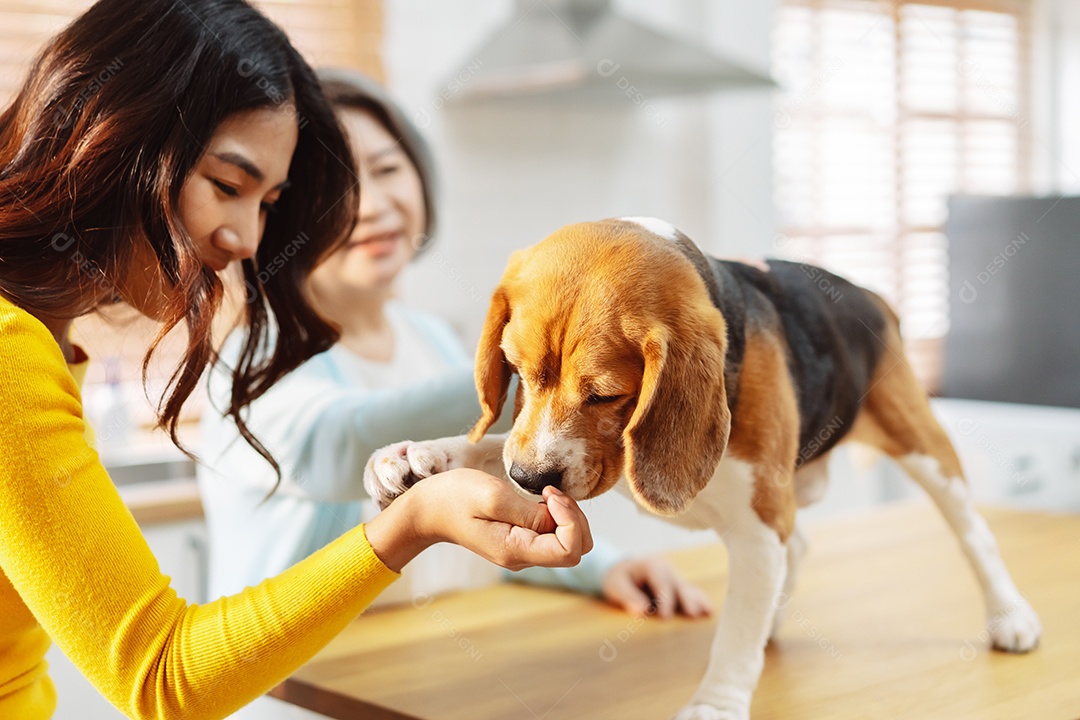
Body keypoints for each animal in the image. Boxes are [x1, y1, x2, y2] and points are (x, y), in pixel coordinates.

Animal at [367, 216, 1041, 720]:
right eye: (518, 372)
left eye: (605, 395)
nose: (532, 482)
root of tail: (868, 296)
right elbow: (495, 445)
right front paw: (421, 458)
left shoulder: (757, 520)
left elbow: (734, 637)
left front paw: (716, 703)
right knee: (798, 548)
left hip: (921, 448)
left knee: (973, 534)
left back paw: (1009, 615)